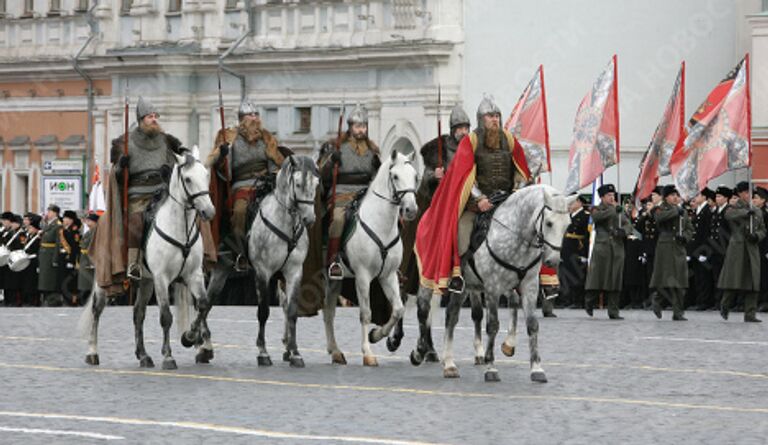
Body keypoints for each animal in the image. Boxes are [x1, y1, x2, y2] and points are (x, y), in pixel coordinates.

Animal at [80, 146, 216, 368]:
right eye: (188, 179)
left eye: (206, 175)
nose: (209, 211)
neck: (180, 229)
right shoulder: (161, 278)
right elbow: (166, 316)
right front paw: (168, 356)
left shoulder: (194, 275)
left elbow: (203, 305)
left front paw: (189, 338)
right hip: (104, 280)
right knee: (97, 310)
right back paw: (92, 352)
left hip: (145, 281)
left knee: (138, 314)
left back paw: (143, 355)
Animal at [246, 155, 318, 368]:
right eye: (298, 183)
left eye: (316, 184)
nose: (309, 218)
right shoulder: (262, 272)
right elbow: (263, 311)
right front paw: (262, 352)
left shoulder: (294, 272)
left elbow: (292, 310)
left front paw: (295, 352)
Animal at [324, 149, 420, 364]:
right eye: (395, 176)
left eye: (415, 176)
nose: (410, 210)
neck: (380, 225)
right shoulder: (363, 276)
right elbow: (366, 314)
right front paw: (367, 353)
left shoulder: (388, 276)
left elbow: (398, 309)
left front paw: (376, 335)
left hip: (336, 280)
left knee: (328, 311)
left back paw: (335, 351)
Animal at [412, 184, 572, 382]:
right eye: (549, 223)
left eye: (567, 224)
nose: (553, 261)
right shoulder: (492, 288)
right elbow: (493, 325)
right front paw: (491, 367)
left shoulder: (529, 286)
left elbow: (532, 324)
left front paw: (536, 369)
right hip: (428, 277)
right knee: (423, 309)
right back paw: (421, 351)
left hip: (463, 286)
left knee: (451, 315)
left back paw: (449, 363)